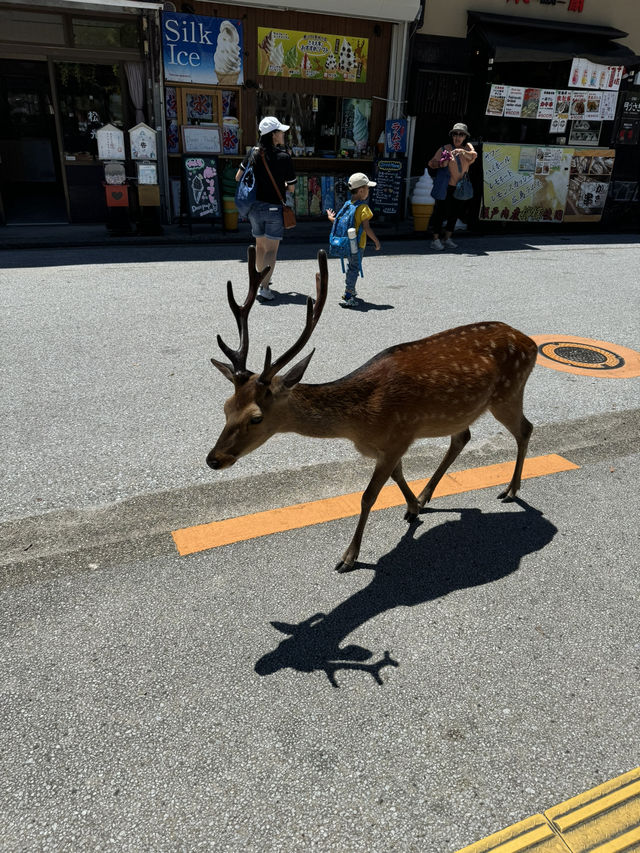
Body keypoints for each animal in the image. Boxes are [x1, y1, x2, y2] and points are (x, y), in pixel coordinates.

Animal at [208, 250, 536, 576]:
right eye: (226, 406)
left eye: (256, 417)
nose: (213, 459)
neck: (360, 421)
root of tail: (529, 342)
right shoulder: (390, 446)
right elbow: (397, 475)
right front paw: (413, 507)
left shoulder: (398, 436)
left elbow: (368, 496)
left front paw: (349, 557)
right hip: (467, 409)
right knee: (463, 437)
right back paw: (427, 495)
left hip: (508, 393)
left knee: (525, 428)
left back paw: (510, 490)